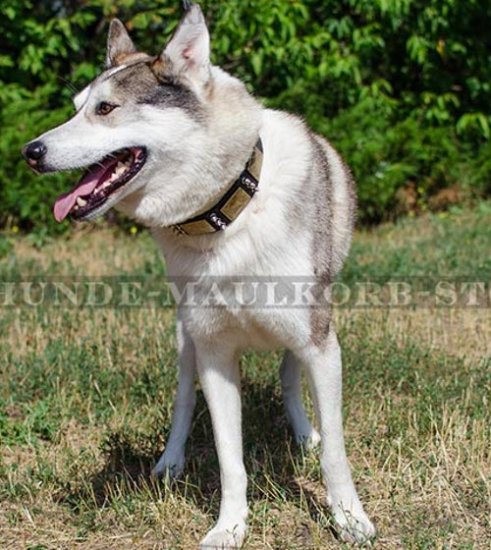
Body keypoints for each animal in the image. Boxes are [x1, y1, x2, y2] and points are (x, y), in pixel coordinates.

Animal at [22, 3, 376, 548]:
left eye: (105, 109)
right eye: (77, 108)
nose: (30, 151)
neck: (227, 214)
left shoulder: (319, 342)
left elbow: (337, 452)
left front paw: (350, 519)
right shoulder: (212, 353)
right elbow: (230, 460)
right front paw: (229, 527)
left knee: (289, 376)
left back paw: (302, 435)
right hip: (184, 337)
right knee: (184, 399)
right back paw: (170, 462)